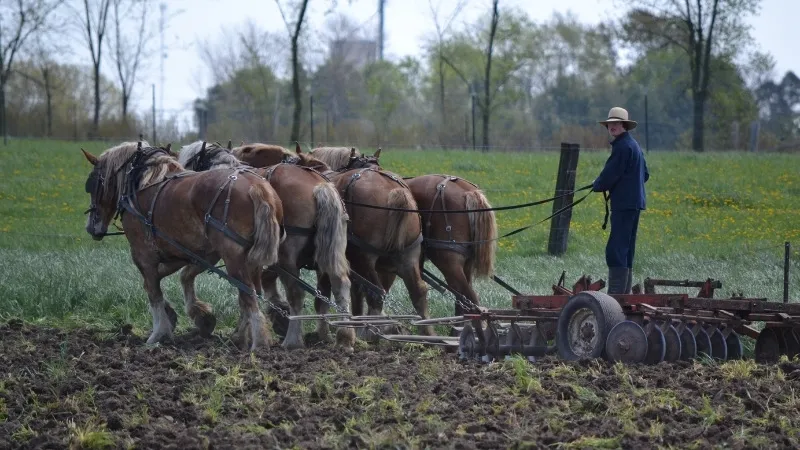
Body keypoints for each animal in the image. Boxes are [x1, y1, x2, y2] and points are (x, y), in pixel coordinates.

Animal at [81, 141, 286, 352]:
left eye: (92, 185)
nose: (91, 227)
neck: (142, 185)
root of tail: (257, 187)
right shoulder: (195, 254)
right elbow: (173, 278)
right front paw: (198, 316)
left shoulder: (143, 255)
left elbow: (153, 292)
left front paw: (158, 333)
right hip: (251, 260)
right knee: (252, 294)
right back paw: (244, 337)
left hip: (234, 258)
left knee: (249, 296)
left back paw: (258, 342)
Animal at [183, 141, 358, 352]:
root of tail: (320, 186)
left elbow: (245, 293)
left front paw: (242, 334)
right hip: (330, 252)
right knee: (340, 284)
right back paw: (343, 337)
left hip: (286, 258)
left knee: (296, 294)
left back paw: (293, 340)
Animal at [236, 142, 438, 336]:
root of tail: (395, 191)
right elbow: (331, 296)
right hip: (407, 256)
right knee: (417, 291)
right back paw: (426, 332)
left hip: (364, 258)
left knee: (376, 292)